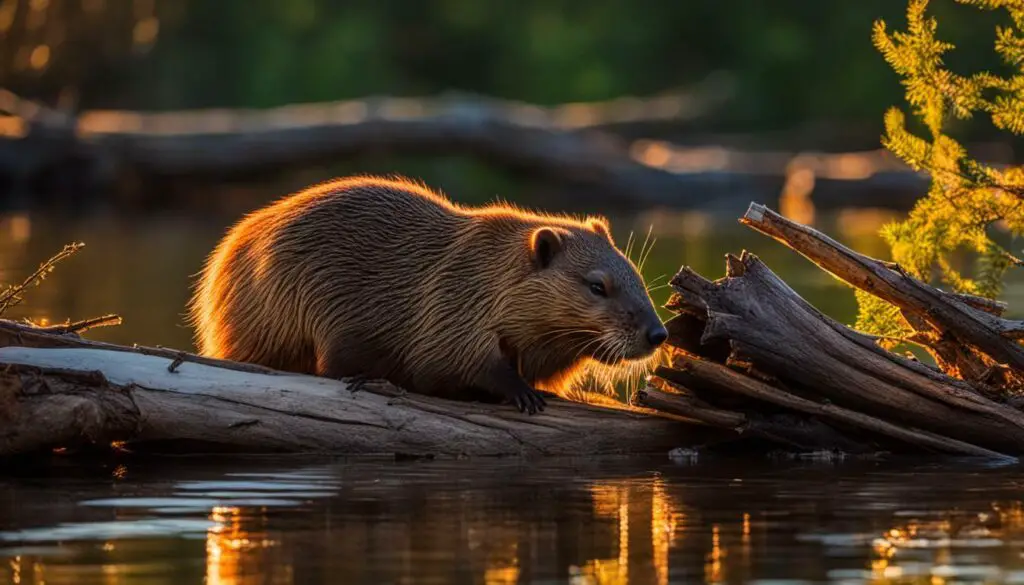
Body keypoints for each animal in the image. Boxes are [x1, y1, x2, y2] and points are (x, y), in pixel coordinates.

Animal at [190, 176, 671, 413]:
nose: (657, 334)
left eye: (635, 276)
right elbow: (456, 361)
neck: (488, 271)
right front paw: (525, 395)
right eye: (597, 285)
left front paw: (544, 391)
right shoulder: (450, 303)